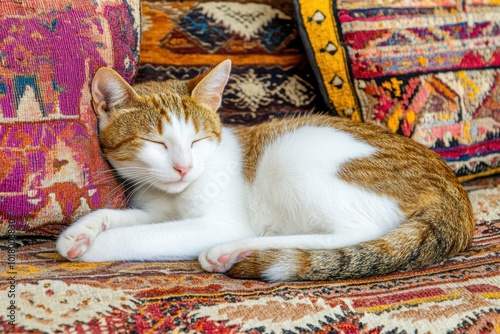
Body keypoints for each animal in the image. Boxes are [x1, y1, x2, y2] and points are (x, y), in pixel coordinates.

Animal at [56, 60, 474, 282]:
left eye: (197, 141)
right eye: (156, 144)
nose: (184, 167)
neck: (172, 193)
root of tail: (453, 190)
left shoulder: (216, 221)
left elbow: (144, 236)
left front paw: (94, 248)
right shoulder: (157, 207)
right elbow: (127, 217)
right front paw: (82, 231)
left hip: (294, 156)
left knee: (356, 233)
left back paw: (233, 250)